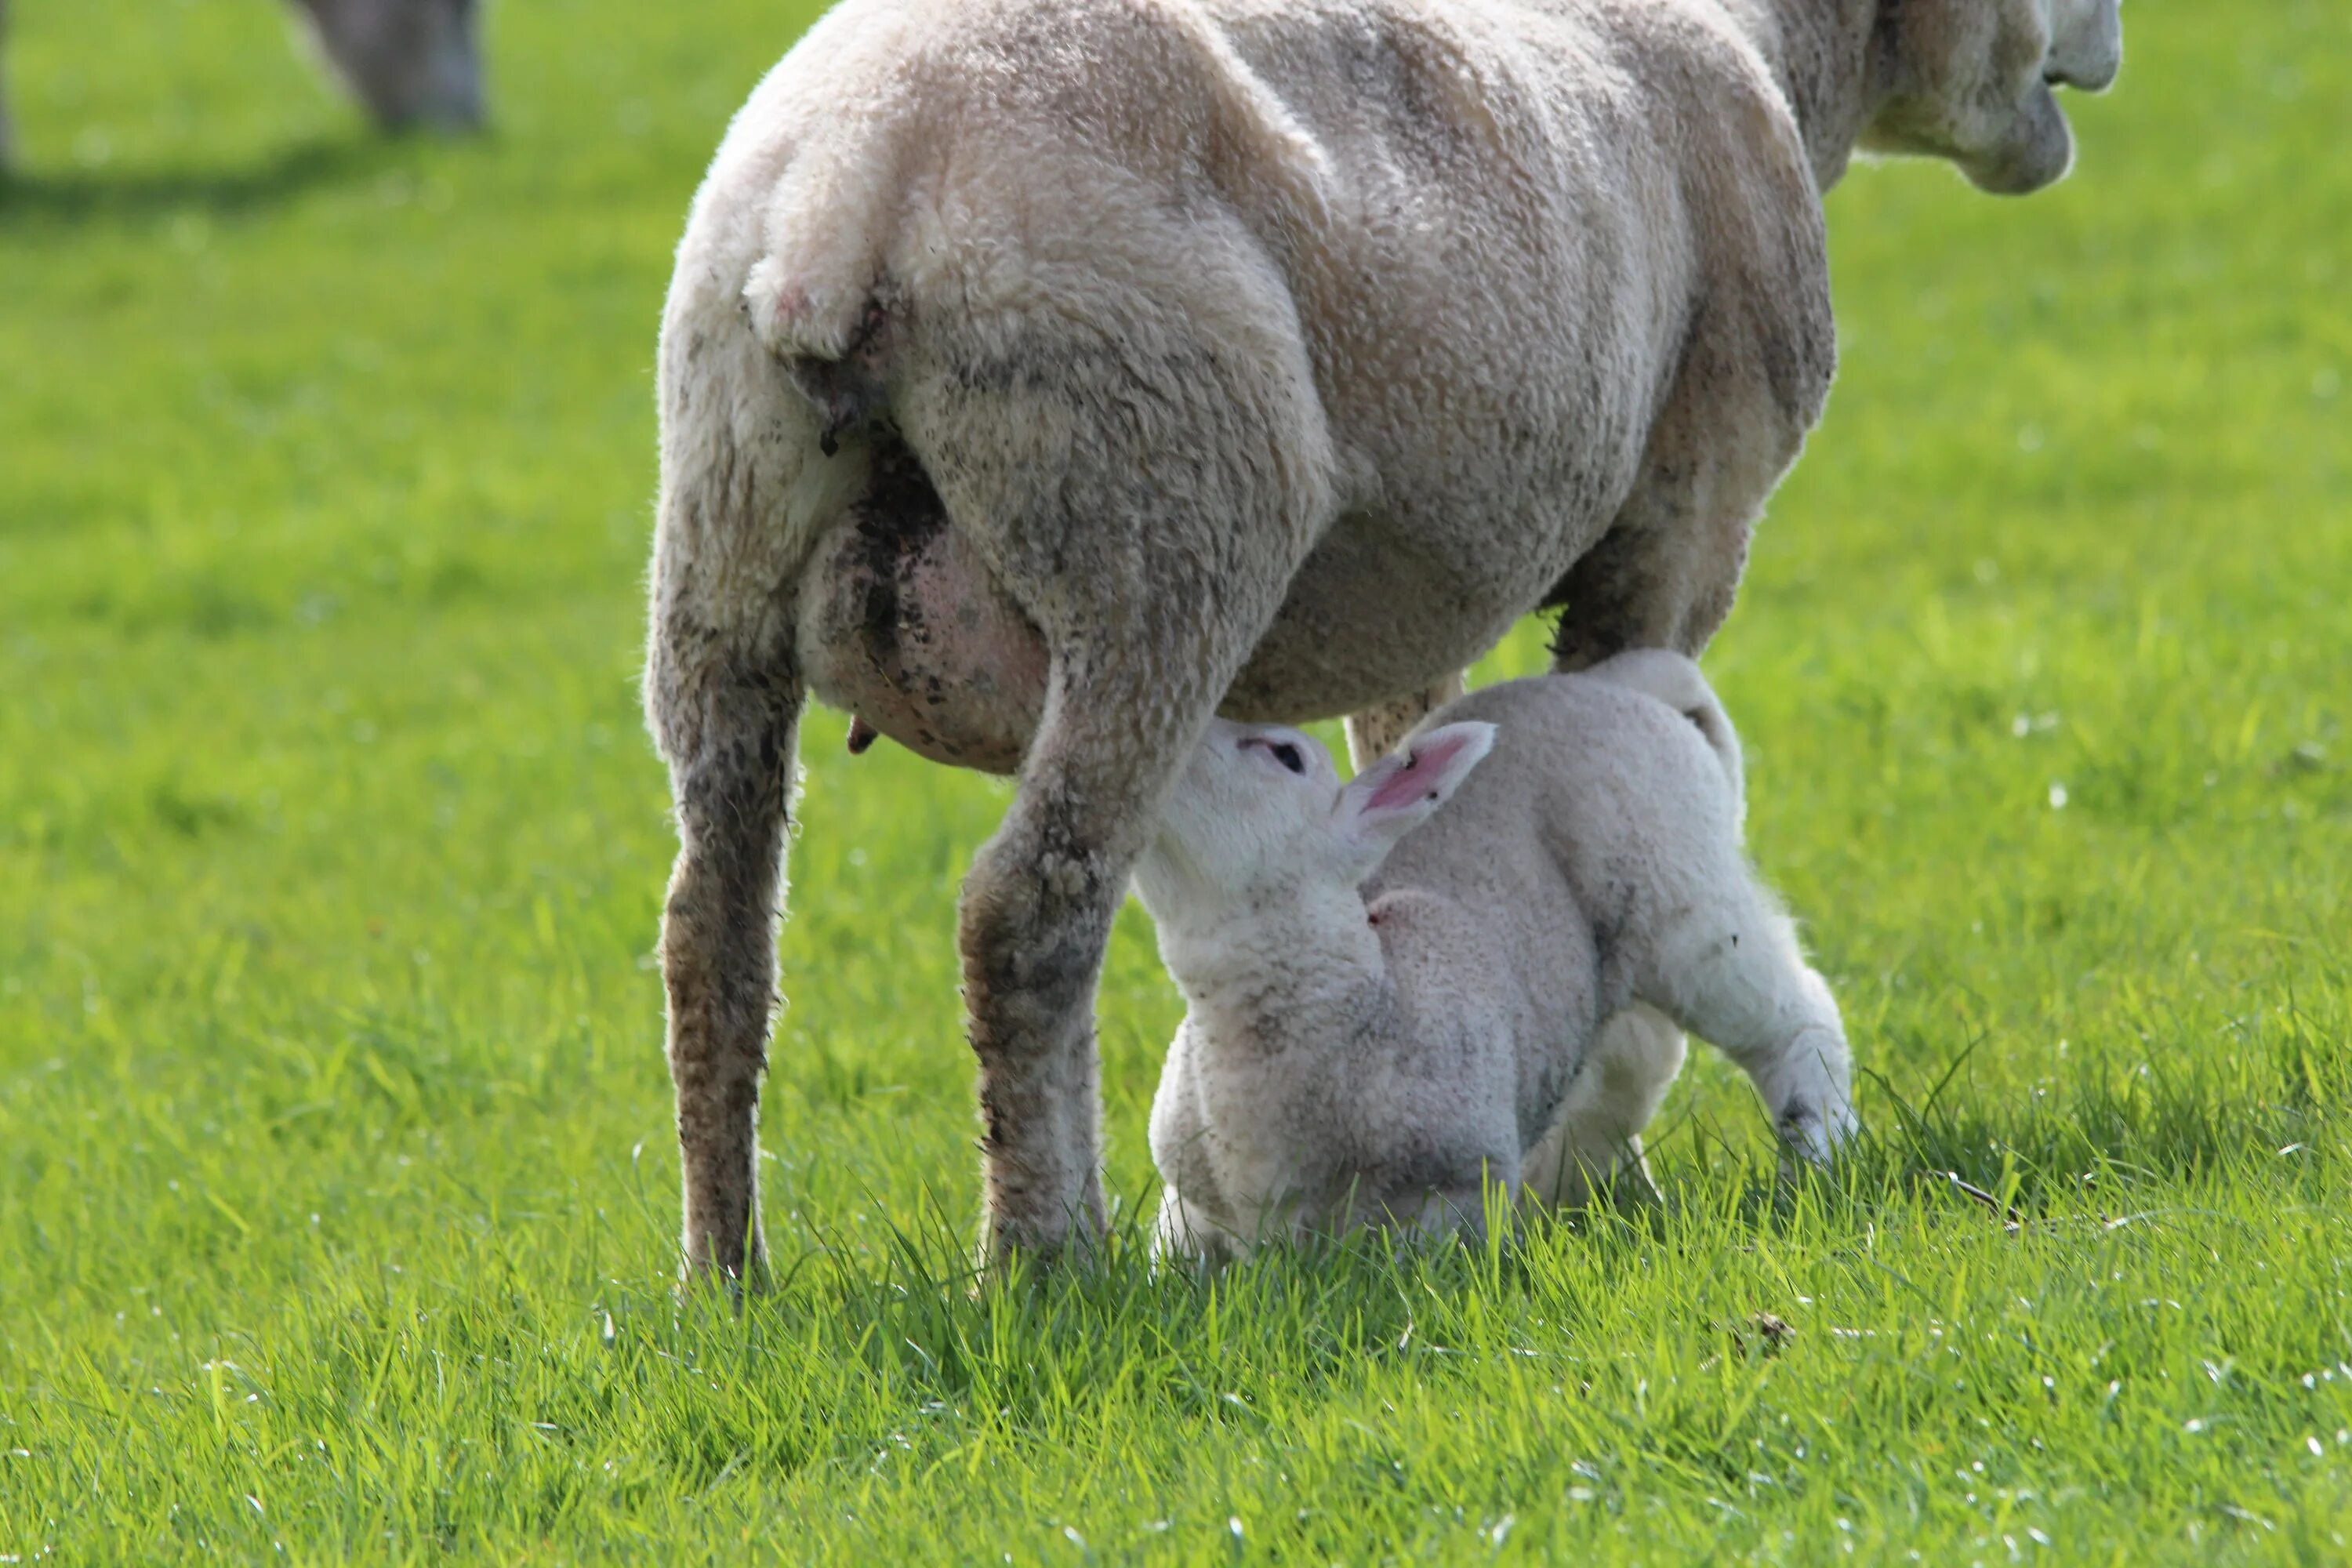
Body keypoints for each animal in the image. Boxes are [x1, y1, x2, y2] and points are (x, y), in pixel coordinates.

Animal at [1129, 653, 1844, 1260]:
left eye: (1284, 754)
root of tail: (1622, 682)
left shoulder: (1456, 1190)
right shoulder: (1190, 1205)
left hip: (1682, 878)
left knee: (1793, 1017)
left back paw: (1819, 1151)